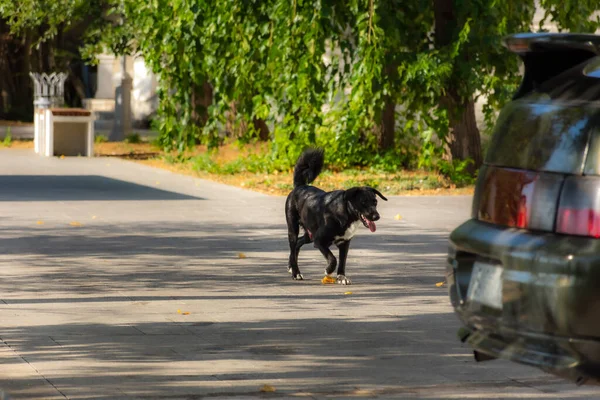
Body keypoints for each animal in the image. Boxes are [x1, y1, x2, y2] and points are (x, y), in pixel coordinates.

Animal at [284, 148, 386, 284]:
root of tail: (300, 186)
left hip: (309, 234)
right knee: (293, 245)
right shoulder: (319, 240)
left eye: (375, 202)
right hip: (294, 230)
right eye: (363, 202)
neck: (346, 214)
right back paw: (296, 273)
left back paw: (291, 266)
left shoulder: (344, 243)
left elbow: (342, 262)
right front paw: (328, 270)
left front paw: (341, 277)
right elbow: (333, 259)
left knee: (298, 244)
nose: (376, 217)